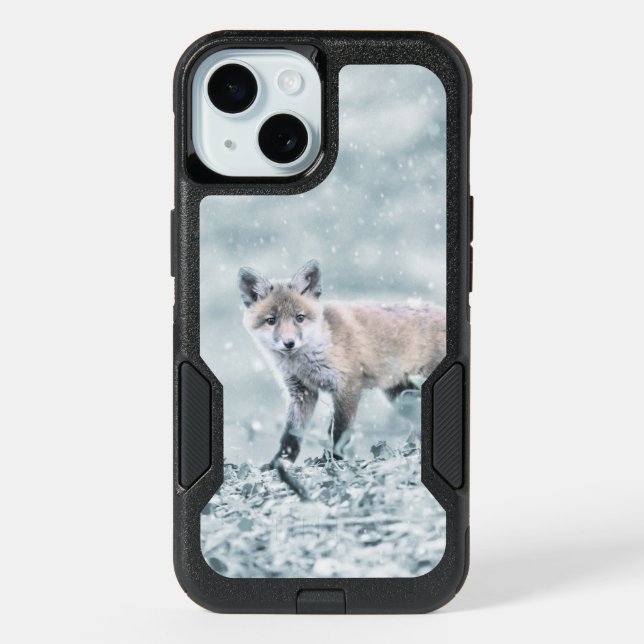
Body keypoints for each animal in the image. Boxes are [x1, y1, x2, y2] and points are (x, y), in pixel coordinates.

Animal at [238, 259, 446, 467]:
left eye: (300, 318)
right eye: (271, 321)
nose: (289, 343)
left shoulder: (347, 385)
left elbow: (339, 431)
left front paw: (332, 460)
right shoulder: (301, 392)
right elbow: (291, 435)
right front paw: (279, 463)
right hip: (398, 394)